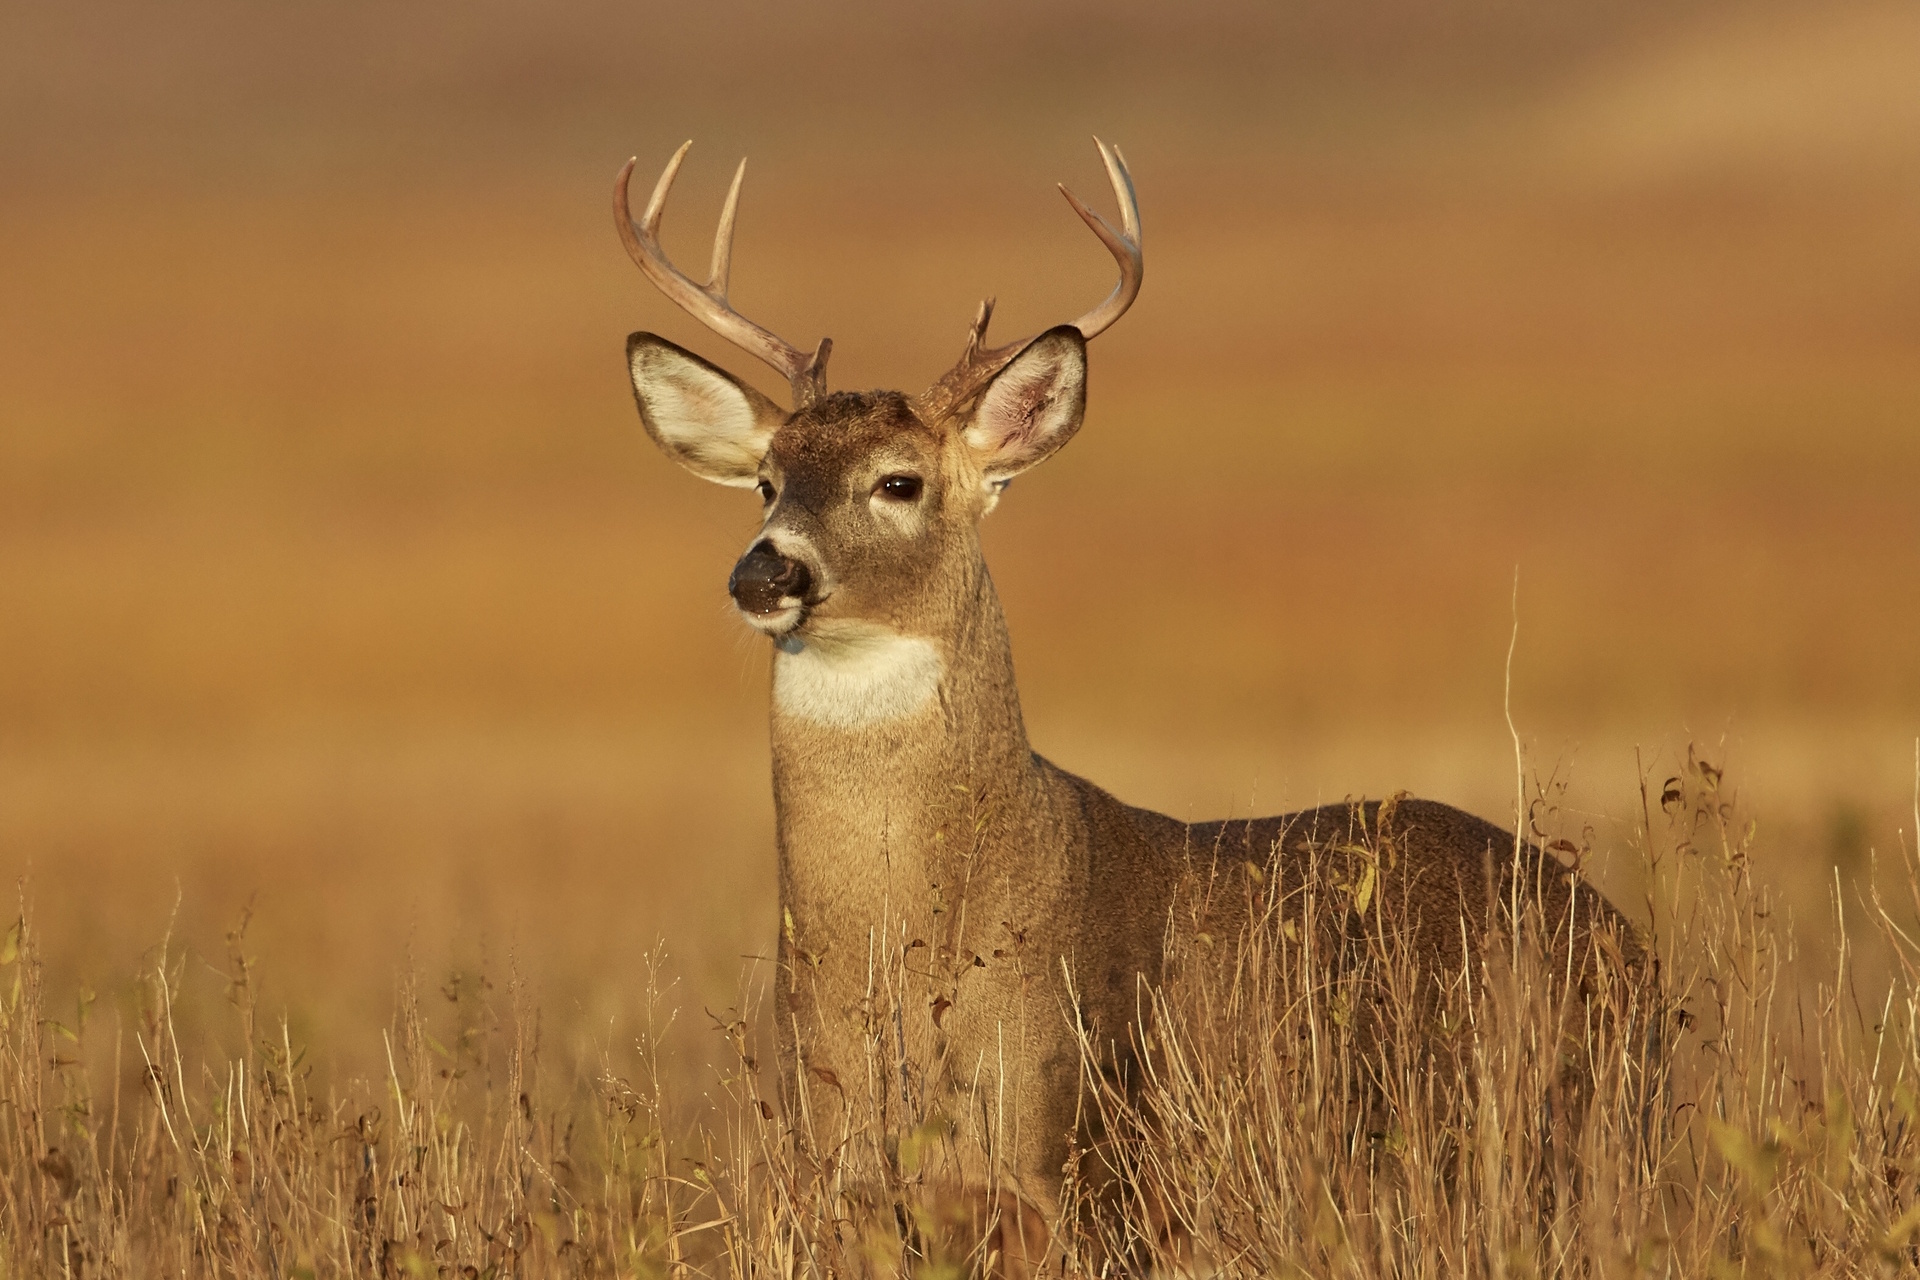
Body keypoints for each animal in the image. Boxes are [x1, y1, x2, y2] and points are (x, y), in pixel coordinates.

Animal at [613, 139, 1635, 1265]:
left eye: (899, 482)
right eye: (766, 479)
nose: (765, 571)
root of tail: (1631, 944)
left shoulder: (1071, 1144)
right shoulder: (846, 1173)